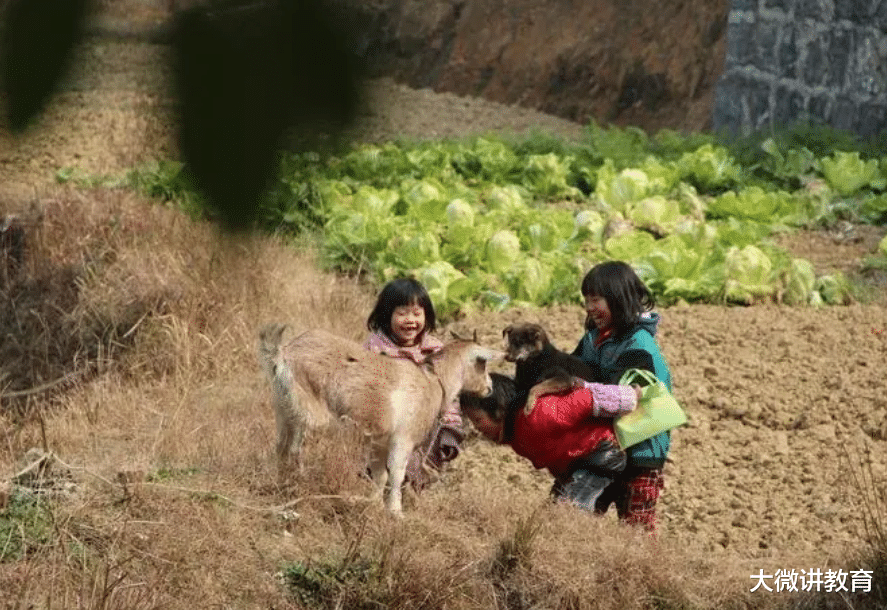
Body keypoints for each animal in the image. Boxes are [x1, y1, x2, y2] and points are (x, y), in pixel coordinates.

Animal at [260, 324, 502, 512]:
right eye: (482, 363)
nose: (489, 388)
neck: (434, 380)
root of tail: (284, 353)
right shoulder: (402, 439)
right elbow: (396, 474)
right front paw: (395, 512)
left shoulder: (380, 442)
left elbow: (381, 475)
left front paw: (373, 504)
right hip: (308, 409)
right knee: (295, 448)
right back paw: (300, 481)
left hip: (283, 406)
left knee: (280, 444)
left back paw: (274, 479)